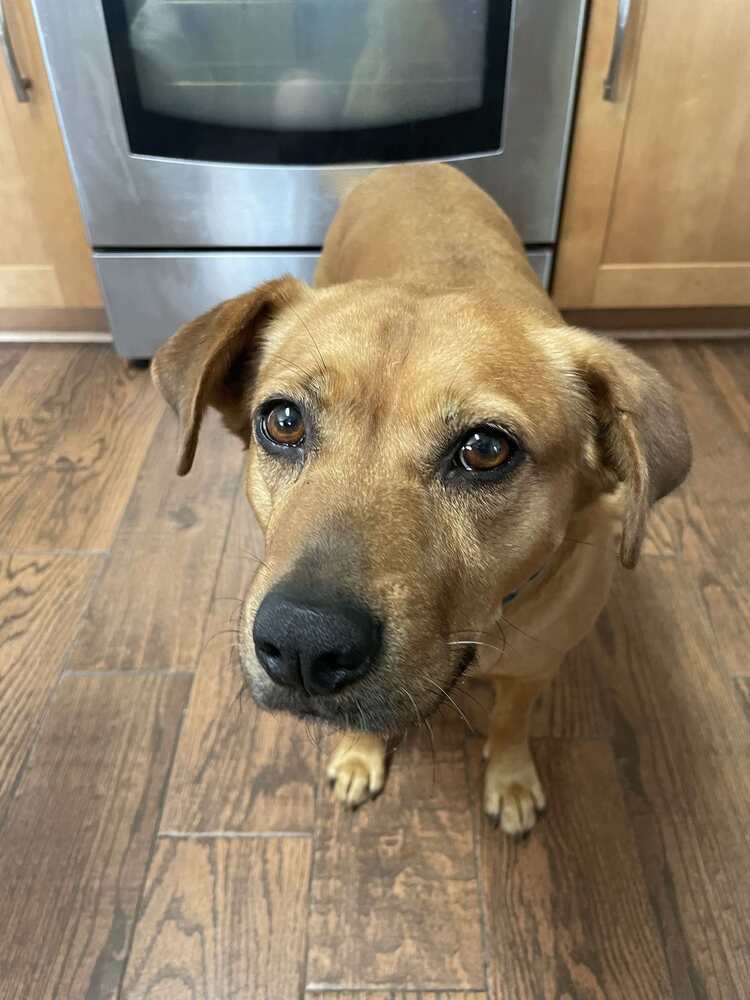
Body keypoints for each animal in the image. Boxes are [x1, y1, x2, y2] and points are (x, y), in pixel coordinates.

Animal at [153, 166, 692, 836]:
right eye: (282, 420)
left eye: (486, 449)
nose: (303, 643)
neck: (483, 634)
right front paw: (359, 756)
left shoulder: (536, 667)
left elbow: (512, 723)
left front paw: (510, 779)